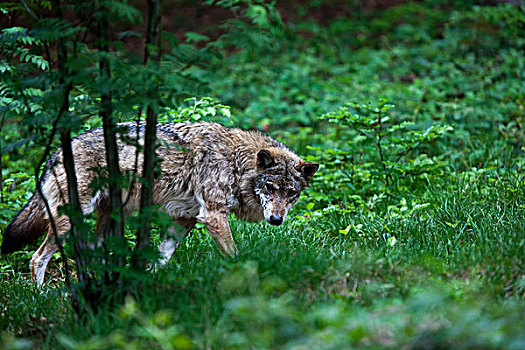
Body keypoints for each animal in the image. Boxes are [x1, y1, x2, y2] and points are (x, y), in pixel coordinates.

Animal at [2, 122, 318, 284]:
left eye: (291, 193)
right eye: (270, 187)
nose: (276, 219)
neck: (235, 162)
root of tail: (58, 150)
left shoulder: (184, 219)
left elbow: (160, 259)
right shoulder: (213, 215)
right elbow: (234, 256)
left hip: (109, 218)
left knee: (93, 251)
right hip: (71, 219)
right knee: (37, 258)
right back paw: (42, 297)